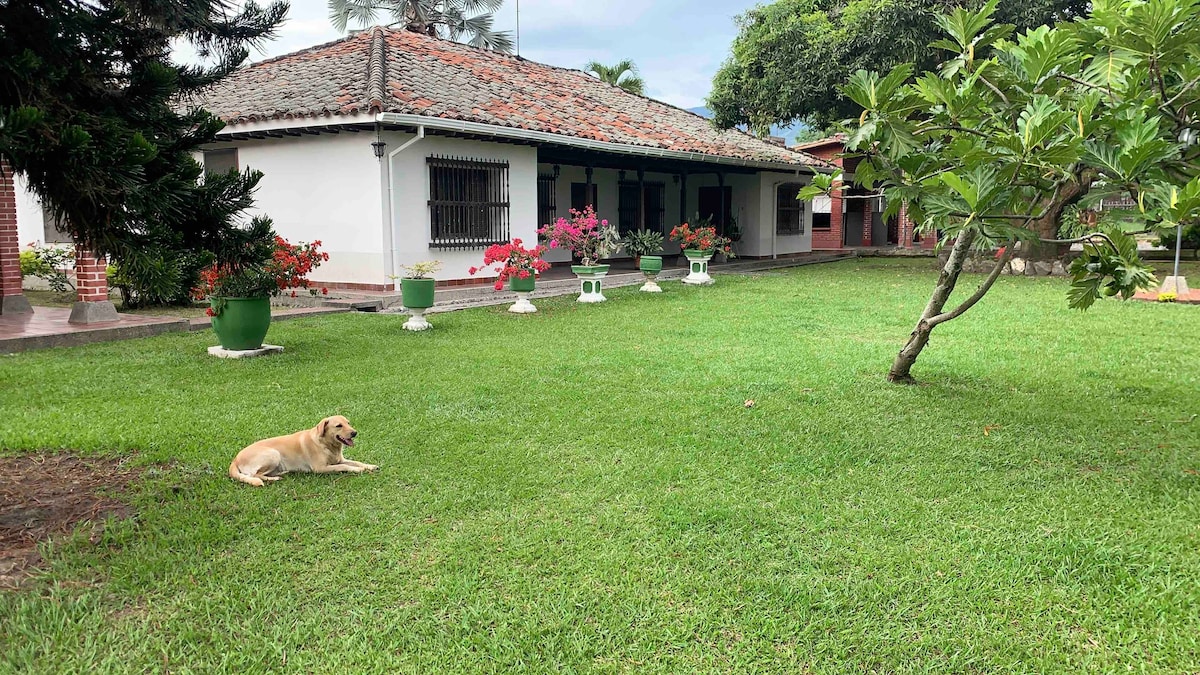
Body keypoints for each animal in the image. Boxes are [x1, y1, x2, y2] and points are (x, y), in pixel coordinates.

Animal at [225, 413, 374, 485]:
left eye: (348, 423)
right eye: (339, 426)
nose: (355, 433)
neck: (327, 444)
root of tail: (235, 459)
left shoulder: (339, 459)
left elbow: (356, 462)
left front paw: (370, 466)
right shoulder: (320, 468)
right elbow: (344, 466)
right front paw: (358, 470)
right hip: (273, 454)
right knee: (254, 475)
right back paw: (274, 478)